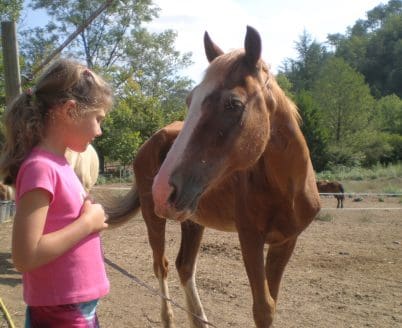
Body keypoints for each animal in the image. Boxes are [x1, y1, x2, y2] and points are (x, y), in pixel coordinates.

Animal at [106, 26, 320, 328]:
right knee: (162, 266)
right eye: (189, 101)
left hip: (192, 220)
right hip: (154, 217)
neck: (286, 190)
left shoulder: (285, 242)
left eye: (233, 104)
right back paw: (168, 318)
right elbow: (262, 308)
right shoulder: (250, 239)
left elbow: (271, 303)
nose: (162, 190)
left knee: (185, 267)